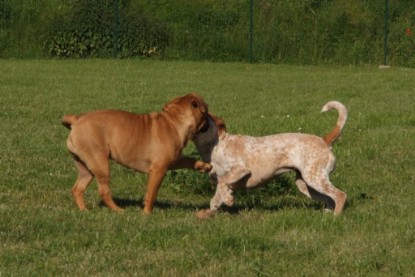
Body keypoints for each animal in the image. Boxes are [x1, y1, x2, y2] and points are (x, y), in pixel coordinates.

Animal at [62, 92, 211, 213]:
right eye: (207, 114)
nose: (210, 121)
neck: (174, 122)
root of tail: (77, 119)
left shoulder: (174, 161)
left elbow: (189, 160)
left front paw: (204, 166)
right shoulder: (158, 170)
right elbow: (151, 193)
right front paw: (147, 213)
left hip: (86, 167)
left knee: (78, 189)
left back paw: (84, 210)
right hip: (100, 164)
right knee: (104, 191)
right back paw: (118, 210)